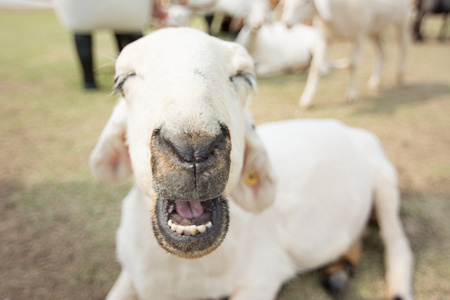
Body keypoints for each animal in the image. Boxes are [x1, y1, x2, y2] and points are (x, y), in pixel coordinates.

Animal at [89, 27, 414, 300]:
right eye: (123, 80)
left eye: (244, 76)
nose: (194, 148)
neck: (182, 270)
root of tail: (345, 127)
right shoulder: (131, 274)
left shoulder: (262, 277)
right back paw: (338, 274)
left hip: (385, 181)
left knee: (397, 243)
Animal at [282, 0, 412, 109]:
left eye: (306, 2)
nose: (286, 23)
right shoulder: (325, 37)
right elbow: (316, 66)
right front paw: (307, 99)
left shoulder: (359, 36)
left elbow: (352, 64)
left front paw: (351, 94)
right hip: (374, 28)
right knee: (381, 52)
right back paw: (375, 82)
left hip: (402, 19)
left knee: (404, 47)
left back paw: (400, 75)